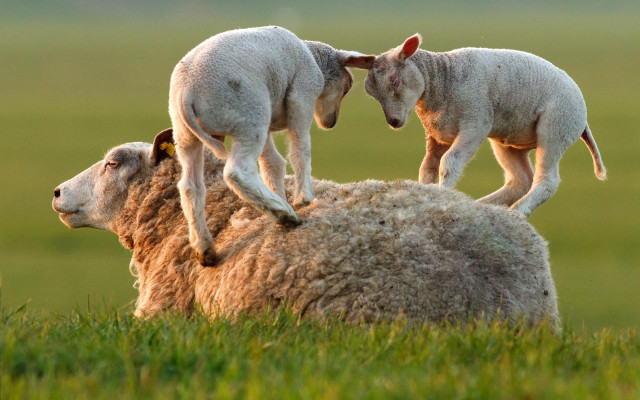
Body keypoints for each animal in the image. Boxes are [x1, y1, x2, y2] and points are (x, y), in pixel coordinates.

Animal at [169, 26, 375, 266]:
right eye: (347, 86)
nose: (329, 123)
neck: (314, 57)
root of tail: (186, 95)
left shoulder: (269, 124)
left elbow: (272, 164)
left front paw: (279, 194)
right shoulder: (302, 95)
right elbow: (301, 151)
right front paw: (304, 198)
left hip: (185, 135)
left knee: (190, 186)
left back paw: (205, 248)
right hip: (250, 114)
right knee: (237, 172)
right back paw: (285, 215)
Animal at [350, 34, 606, 216]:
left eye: (394, 81)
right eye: (371, 93)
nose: (393, 122)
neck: (443, 80)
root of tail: (583, 117)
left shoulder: (475, 125)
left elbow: (449, 164)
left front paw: (445, 195)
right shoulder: (436, 135)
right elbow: (428, 168)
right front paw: (429, 195)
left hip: (556, 126)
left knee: (546, 181)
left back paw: (517, 212)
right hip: (509, 140)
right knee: (521, 180)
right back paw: (484, 206)